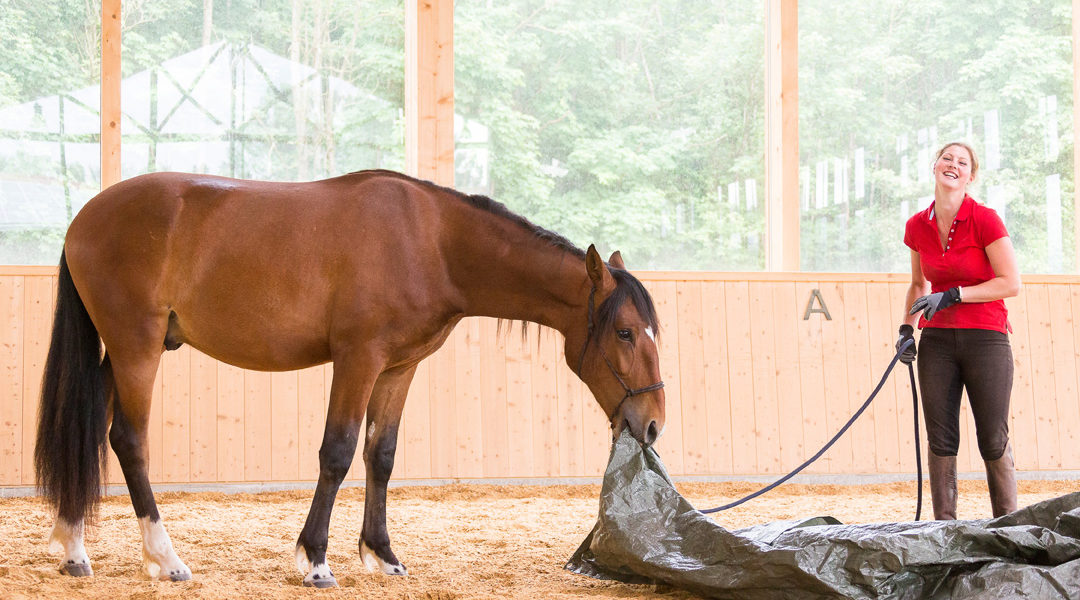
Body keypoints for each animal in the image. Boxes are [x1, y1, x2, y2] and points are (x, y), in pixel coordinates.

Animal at [33, 167, 665, 587]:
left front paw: (382, 554)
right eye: (625, 333)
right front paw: (315, 559)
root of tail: (84, 219)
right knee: (128, 441)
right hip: (137, 348)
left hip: (118, 353)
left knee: (90, 432)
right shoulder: (357, 360)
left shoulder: (398, 369)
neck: (431, 241)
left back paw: (73, 548)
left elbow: (380, 456)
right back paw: (165, 559)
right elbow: (336, 452)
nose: (653, 424)